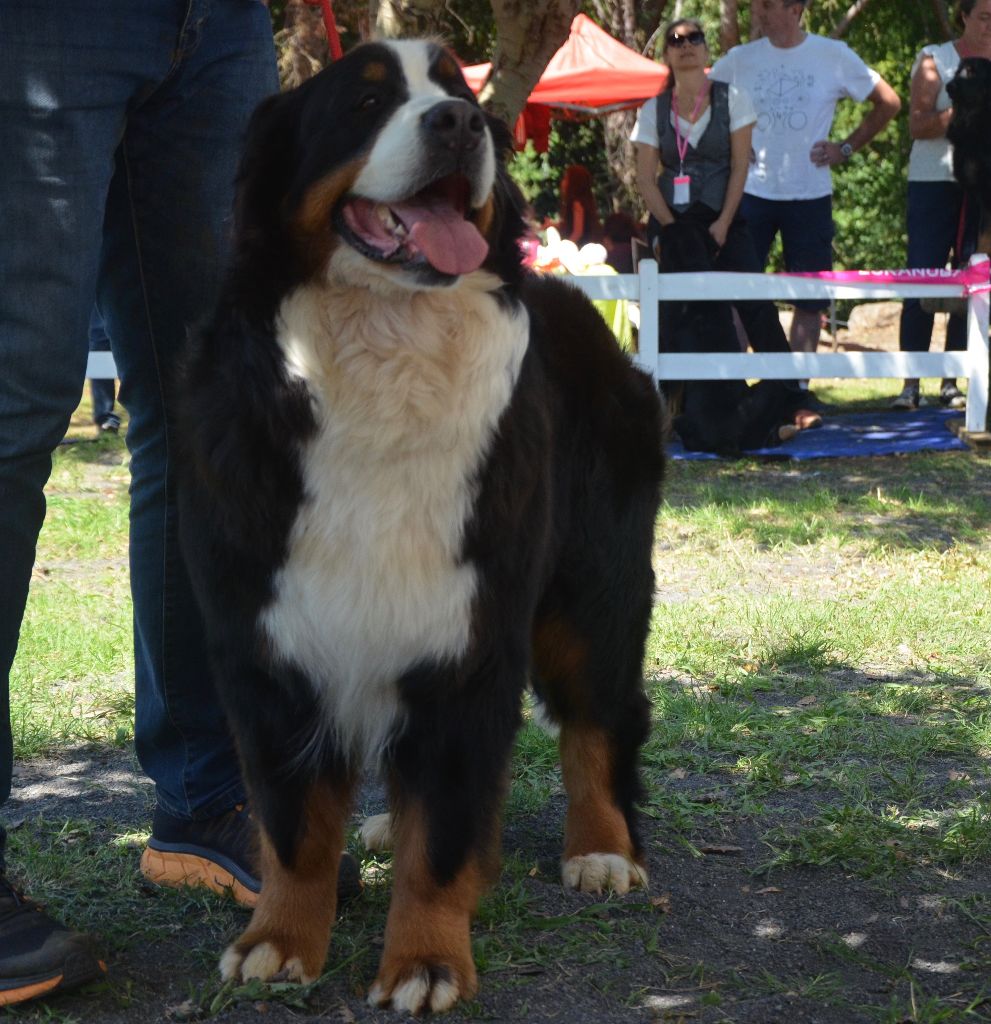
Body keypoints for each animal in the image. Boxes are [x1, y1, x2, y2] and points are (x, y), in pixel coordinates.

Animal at [179, 36, 667, 1011]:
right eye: (365, 103)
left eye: (453, 88)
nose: (459, 123)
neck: (383, 342)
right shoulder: (265, 633)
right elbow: (293, 823)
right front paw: (280, 939)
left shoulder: (464, 632)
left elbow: (441, 830)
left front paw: (426, 958)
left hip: (593, 590)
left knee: (599, 720)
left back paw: (600, 849)